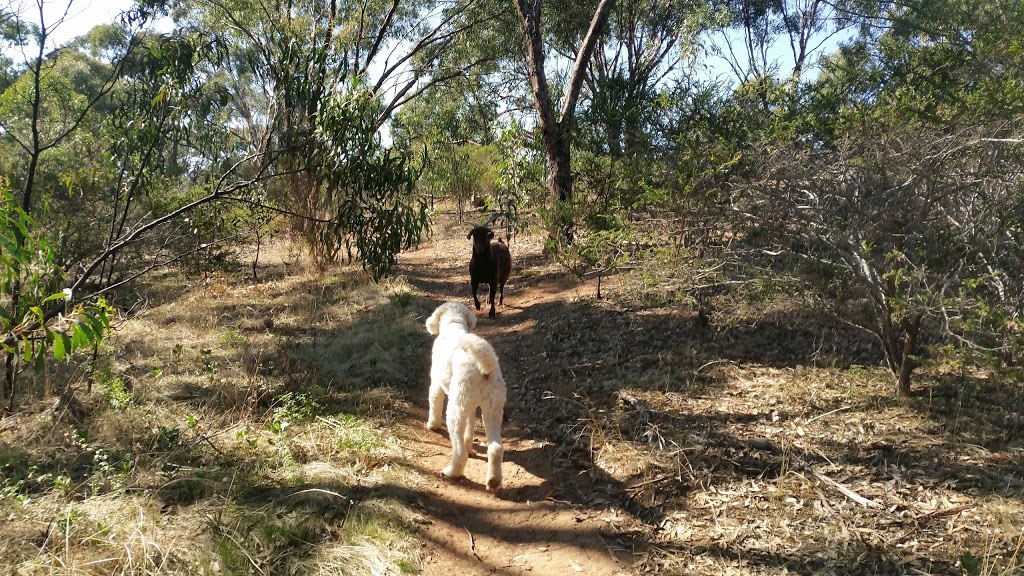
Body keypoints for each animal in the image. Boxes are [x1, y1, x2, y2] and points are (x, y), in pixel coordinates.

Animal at [421, 301, 505, 487]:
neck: (454, 324)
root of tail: (484, 369)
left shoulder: (436, 385)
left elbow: (434, 405)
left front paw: (432, 425)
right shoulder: (472, 408)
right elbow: (470, 427)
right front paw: (470, 445)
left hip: (455, 410)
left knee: (459, 451)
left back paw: (452, 472)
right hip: (492, 409)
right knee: (496, 447)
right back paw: (493, 480)